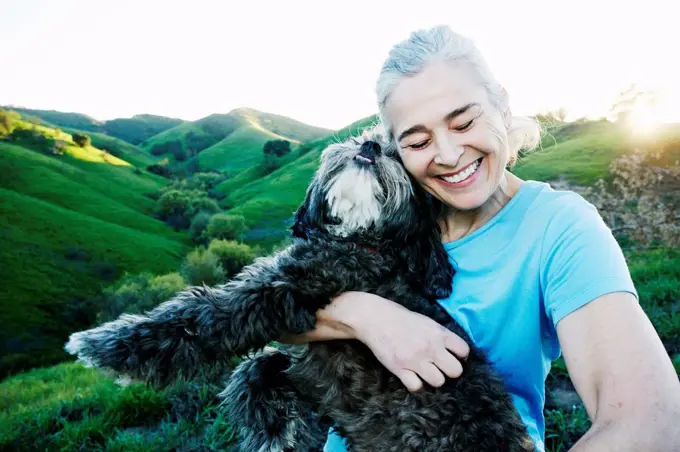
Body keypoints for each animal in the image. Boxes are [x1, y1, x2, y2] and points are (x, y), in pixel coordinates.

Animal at [67, 124, 536, 452]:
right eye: (366, 137)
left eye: (396, 155)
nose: (370, 148)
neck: (360, 241)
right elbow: (257, 368)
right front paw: (273, 429)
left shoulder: (282, 290)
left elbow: (202, 317)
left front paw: (108, 346)